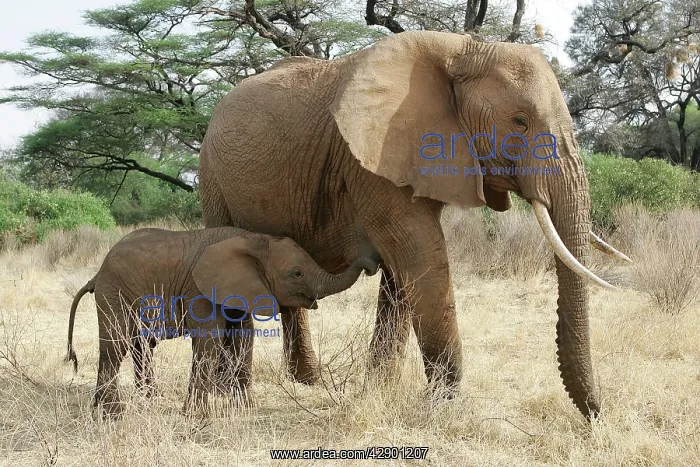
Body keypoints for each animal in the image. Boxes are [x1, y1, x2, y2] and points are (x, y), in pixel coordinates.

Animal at [64, 227, 380, 418]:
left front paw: (247, 410)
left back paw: (143, 402)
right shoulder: (200, 289)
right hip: (113, 292)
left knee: (140, 346)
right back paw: (111, 414)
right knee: (116, 345)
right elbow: (209, 340)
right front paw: (195, 417)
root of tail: (97, 273)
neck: (253, 239)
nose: (373, 261)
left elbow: (244, 337)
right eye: (297, 273)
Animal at [197, 30, 631, 420]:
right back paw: (232, 394)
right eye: (520, 122)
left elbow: (402, 272)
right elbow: (419, 254)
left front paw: (379, 390)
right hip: (213, 180)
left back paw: (306, 382)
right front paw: (444, 405)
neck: (464, 49)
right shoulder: (372, 164)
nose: (598, 417)